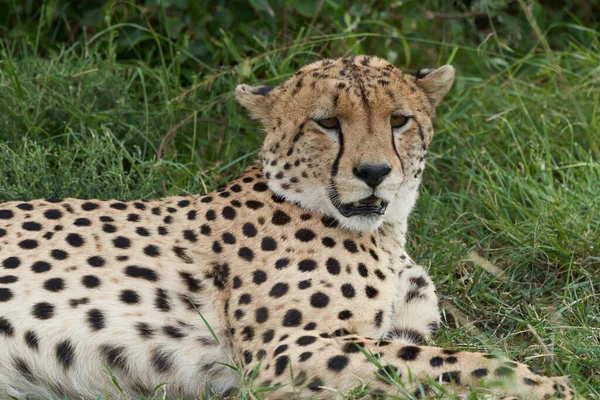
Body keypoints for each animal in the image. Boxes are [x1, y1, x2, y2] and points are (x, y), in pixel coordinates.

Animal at [0, 56, 572, 400]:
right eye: (327, 122)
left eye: (399, 121)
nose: (373, 172)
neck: (382, 234)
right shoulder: (286, 352)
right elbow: (456, 361)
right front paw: (547, 385)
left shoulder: (389, 332)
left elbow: (432, 359)